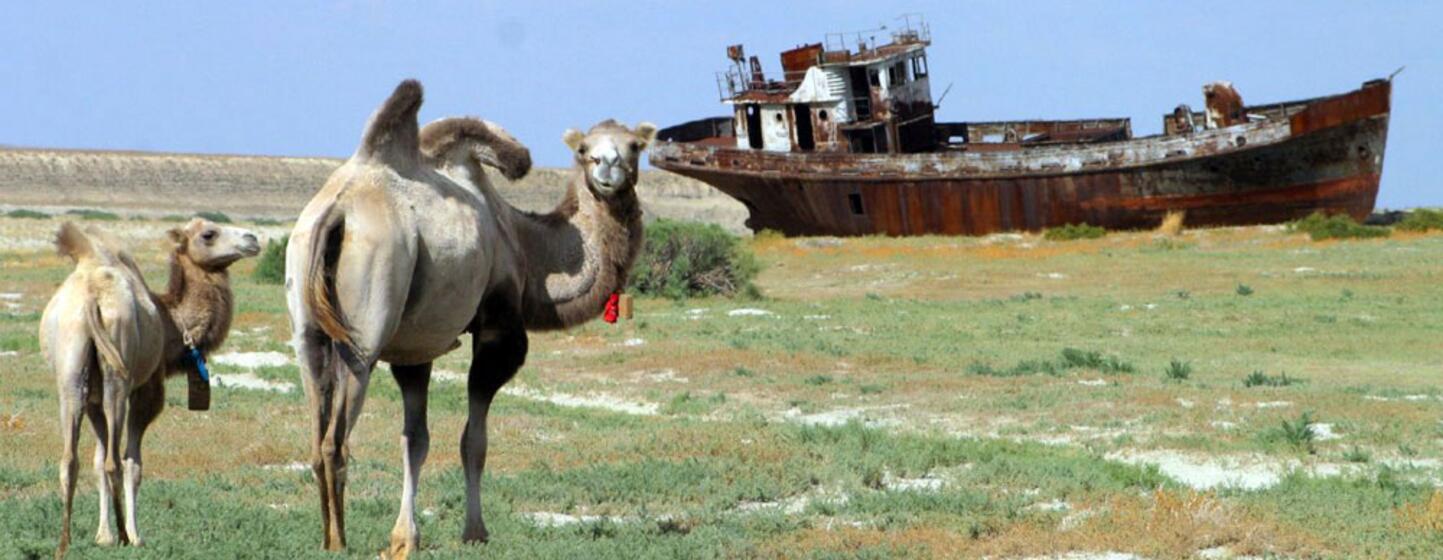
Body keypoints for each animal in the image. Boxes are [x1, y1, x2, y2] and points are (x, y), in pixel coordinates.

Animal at [41, 219, 260, 556]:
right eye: (208, 233)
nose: (252, 238)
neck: (173, 324)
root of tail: (92, 296)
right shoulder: (148, 390)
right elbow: (133, 463)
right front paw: (133, 535)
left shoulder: (93, 400)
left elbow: (95, 459)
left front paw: (101, 536)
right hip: (118, 375)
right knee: (115, 462)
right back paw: (123, 535)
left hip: (70, 370)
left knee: (70, 459)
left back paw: (64, 543)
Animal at [285, 79, 653, 557]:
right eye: (584, 148)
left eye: (635, 145)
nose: (608, 166)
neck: (523, 244)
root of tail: (336, 211)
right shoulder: (499, 325)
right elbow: (473, 440)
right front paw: (475, 531)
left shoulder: (415, 346)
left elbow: (415, 439)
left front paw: (405, 538)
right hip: (363, 329)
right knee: (336, 440)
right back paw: (339, 542)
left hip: (307, 326)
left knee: (315, 432)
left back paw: (327, 534)